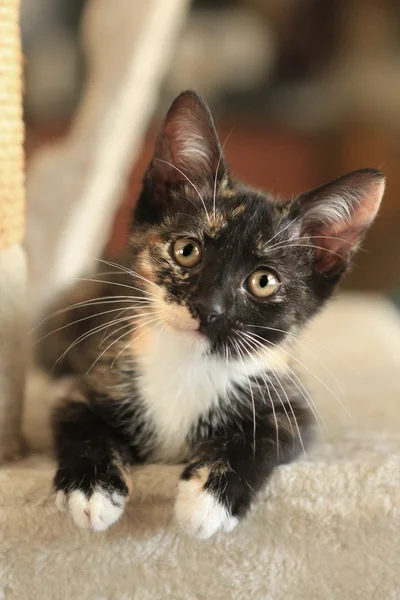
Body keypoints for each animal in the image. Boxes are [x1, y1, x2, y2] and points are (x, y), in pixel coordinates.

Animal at [38, 90, 384, 540]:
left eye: (263, 281)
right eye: (187, 250)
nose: (208, 308)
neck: (188, 364)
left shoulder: (291, 405)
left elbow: (264, 437)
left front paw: (207, 502)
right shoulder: (92, 378)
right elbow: (78, 421)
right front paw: (91, 490)